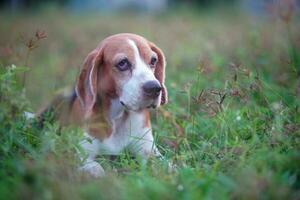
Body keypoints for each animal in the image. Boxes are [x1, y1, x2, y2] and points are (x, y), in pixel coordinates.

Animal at [39, 32, 168, 177]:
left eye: (153, 60)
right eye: (122, 63)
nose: (155, 88)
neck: (118, 118)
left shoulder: (149, 150)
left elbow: (167, 165)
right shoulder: (81, 155)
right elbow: (96, 168)